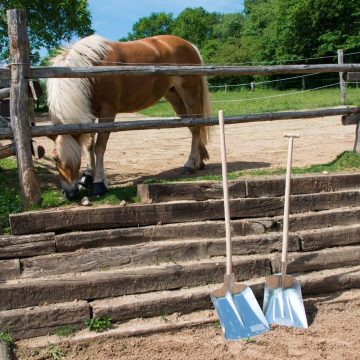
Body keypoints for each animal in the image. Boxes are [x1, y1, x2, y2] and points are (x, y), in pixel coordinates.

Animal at [46, 34, 212, 200]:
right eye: (55, 158)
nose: (70, 193)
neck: (89, 69)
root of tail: (189, 45)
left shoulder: (107, 112)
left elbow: (99, 147)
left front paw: (98, 184)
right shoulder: (90, 114)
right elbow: (89, 146)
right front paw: (87, 177)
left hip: (189, 93)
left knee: (195, 127)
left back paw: (190, 164)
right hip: (174, 97)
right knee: (191, 126)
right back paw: (200, 160)